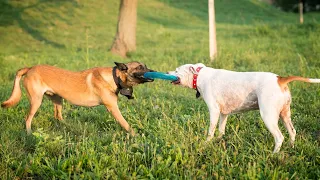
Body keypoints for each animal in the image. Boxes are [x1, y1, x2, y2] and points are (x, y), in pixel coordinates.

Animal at [0, 61, 154, 135]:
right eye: (139, 67)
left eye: (146, 65)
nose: (154, 71)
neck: (114, 77)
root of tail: (30, 68)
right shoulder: (113, 108)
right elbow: (126, 124)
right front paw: (136, 136)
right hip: (36, 101)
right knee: (28, 118)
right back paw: (29, 134)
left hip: (58, 100)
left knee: (58, 116)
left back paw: (70, 126)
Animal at [169, 63, 318, 153]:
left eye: (176, 70)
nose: (167, 71)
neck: (198, 75)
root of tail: (280, 79)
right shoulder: (224, 113)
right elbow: (221, 130)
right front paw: (218, 141)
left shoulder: (214, 111)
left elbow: (210, 131)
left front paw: (206, 144)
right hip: (285, 114)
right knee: (292, 132)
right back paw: (291, 147)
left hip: (268, 116)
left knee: (279, 137)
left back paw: (274, 154)